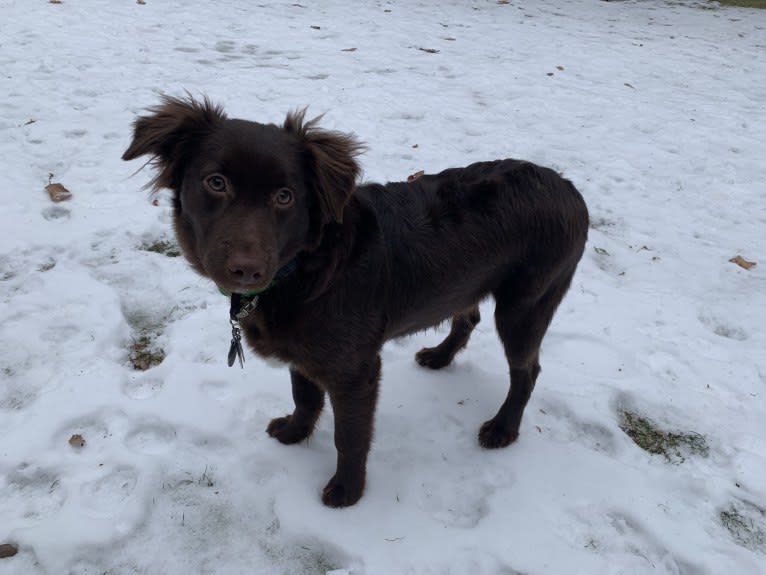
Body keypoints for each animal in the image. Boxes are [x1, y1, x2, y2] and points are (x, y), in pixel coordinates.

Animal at [123, 95, 592, 508]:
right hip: (469, 285)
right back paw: (440, 357)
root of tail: (569, 187)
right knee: (467, 318)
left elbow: (349, 436)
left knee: (527, 370)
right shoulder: (304, 356)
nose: (247, 270)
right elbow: (305, 398)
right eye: (216, 183)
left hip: (526, 305)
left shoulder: (356, 371)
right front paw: (295, 433)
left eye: (285, 196)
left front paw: (348, 491)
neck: (306, 267)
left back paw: (503, 428)